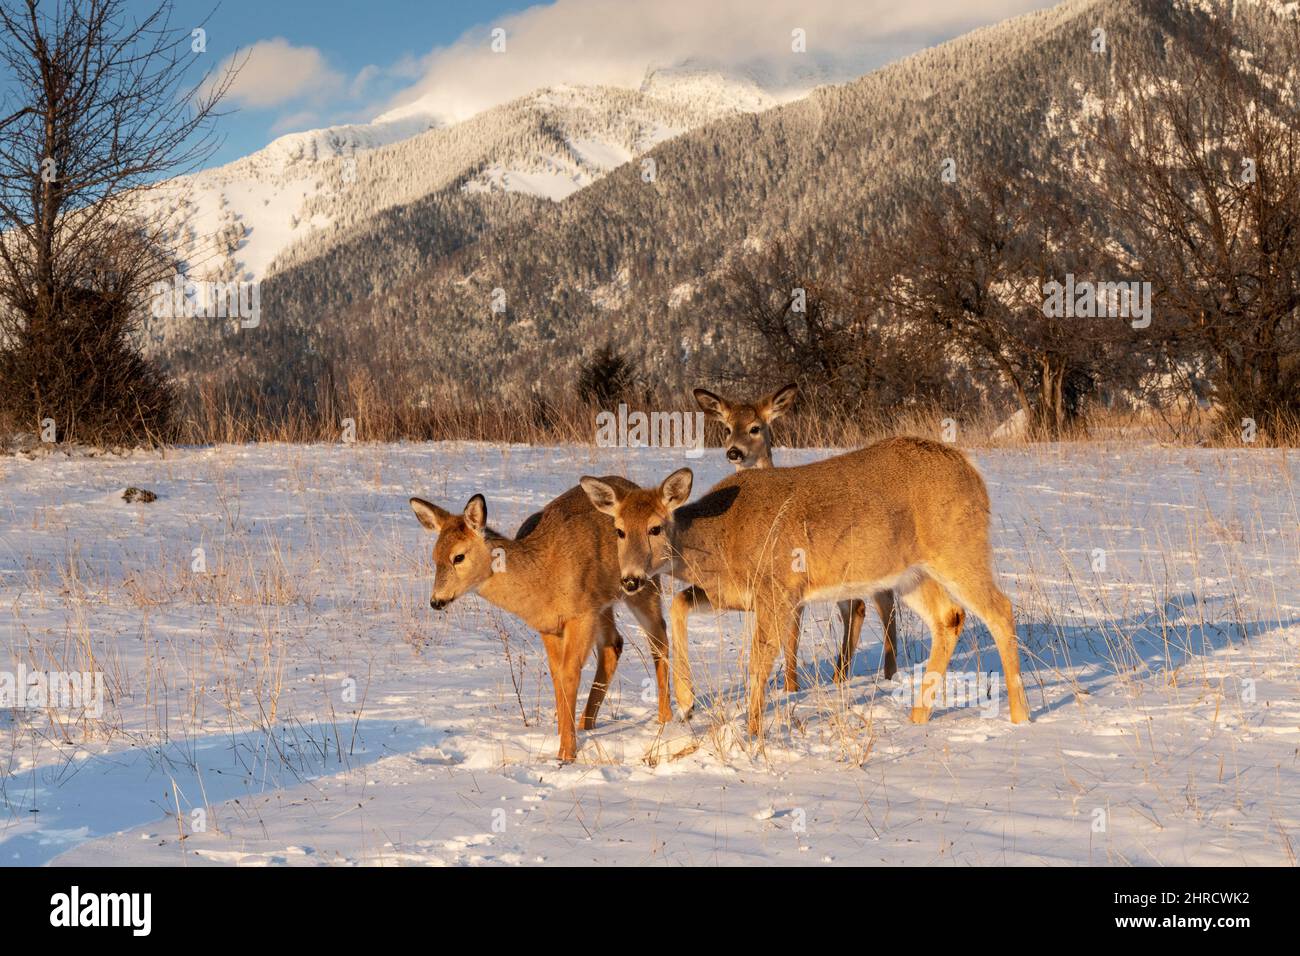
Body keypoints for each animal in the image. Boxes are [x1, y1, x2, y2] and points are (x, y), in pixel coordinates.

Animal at [410, 481, 676, 764]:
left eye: (458, 557)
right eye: (434, 556)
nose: (436, 601)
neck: (542, 576)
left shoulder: (581, 615)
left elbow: (570, 673)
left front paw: (567, 752)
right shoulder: (549, 625)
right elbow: (557, 674)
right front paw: (562, 738)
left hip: (643, 585)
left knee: (659, 638)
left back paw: (665, 719)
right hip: (604, 605)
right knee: (613, 645)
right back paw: (586, 723)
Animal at [585, 442, 1029, 738]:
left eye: (656, 527)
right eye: (618, 530)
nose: (630, 579)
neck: (719, 536)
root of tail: (972, 471)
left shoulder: (779, 588)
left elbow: (759, 662)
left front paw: (753, 732)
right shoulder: (737, 594)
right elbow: (679, 603)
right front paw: (688, 702)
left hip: (958, 548)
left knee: (1000, 609)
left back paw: (1021, 717)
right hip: (910, 575)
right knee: (950, 618)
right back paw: (917, 718)